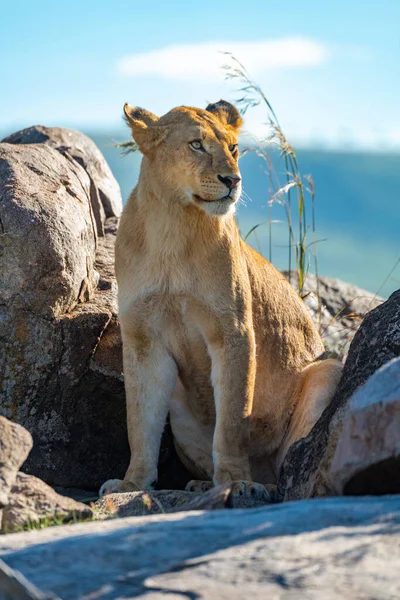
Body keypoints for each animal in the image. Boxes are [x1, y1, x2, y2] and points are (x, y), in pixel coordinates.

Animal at [99, 99, 340, 502]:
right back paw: (202, 484)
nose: (233, 181)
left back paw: (262, 486)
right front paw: (132, 484)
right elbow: (140, 418)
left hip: (329, 371)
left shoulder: (233, 330)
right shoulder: (143, 338)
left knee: (293, 468)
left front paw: (235, 481)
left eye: (233, 148)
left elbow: (232, 416)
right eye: (196, 145)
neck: (173, 227)